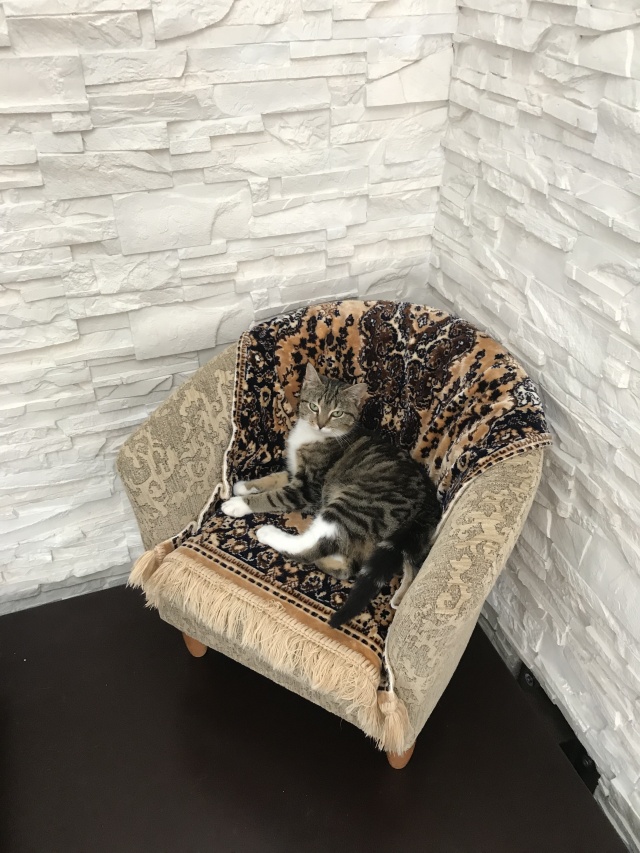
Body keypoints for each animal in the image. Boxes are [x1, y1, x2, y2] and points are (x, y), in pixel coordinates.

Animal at [221, 362, 442, 628]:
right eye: (314, 406)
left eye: (336, 413)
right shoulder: (295, 473)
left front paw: (238, 503)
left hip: (354, 504)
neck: (316, 437)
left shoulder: (308, 488)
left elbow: (274, 496)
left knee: (313, 547)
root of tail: (422, 507)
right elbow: (274, 478)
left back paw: (270, 534)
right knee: (358, 565)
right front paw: (245, 486)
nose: (320, 423)